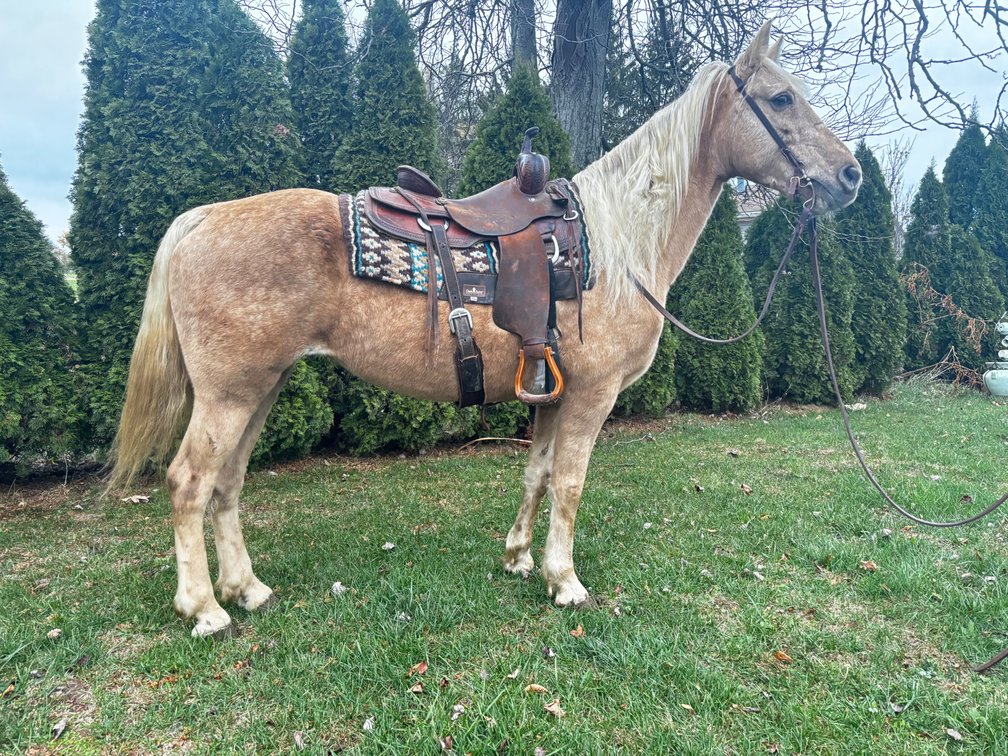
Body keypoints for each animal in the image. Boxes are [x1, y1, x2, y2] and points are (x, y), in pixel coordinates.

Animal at [109, 23, 861, 637]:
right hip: (230, 394)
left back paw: (247, 590)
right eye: (782, 99)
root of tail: (201, 219)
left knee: (227, 483)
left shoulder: (552, 394)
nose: (850, 175)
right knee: (189, 483)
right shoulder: (591, 395)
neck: (616, 246)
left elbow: (537, 473)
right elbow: (570, 484)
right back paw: (205, 609)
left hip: (260, 388)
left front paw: (521, 559)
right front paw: (567, 581)